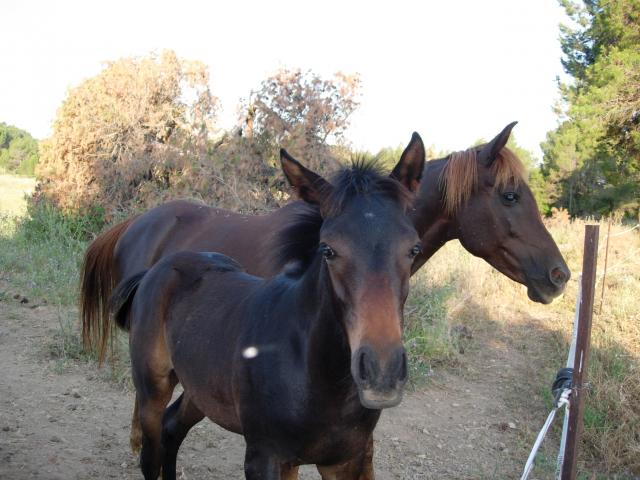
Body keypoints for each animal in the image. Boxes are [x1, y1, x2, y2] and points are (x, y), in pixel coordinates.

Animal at [107, 149, 425, 479]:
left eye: (414, 248)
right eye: (328, 249)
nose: (381, 373)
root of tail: (157, 269)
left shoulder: (343, 461)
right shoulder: (265, 456)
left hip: (202, 388)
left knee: (172, 428)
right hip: (152, 388)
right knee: (150, 453)